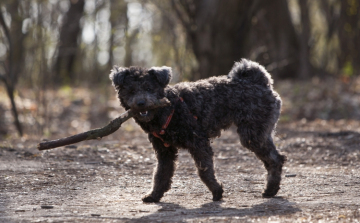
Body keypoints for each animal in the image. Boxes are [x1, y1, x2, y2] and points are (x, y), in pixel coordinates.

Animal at [110, 58, 286, 203]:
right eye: (131, 90)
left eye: (149, 88)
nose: (141, 103)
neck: (169, 108)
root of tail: (260, 82)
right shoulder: (164, 151)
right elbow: (161, 174)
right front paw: (154, 195)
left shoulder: (199, 143)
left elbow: (204, 170)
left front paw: (216, 191)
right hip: (259, 133)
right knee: (274, 158)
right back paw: (271, 190)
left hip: (252, 134)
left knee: (275, 159)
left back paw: (270, 190)